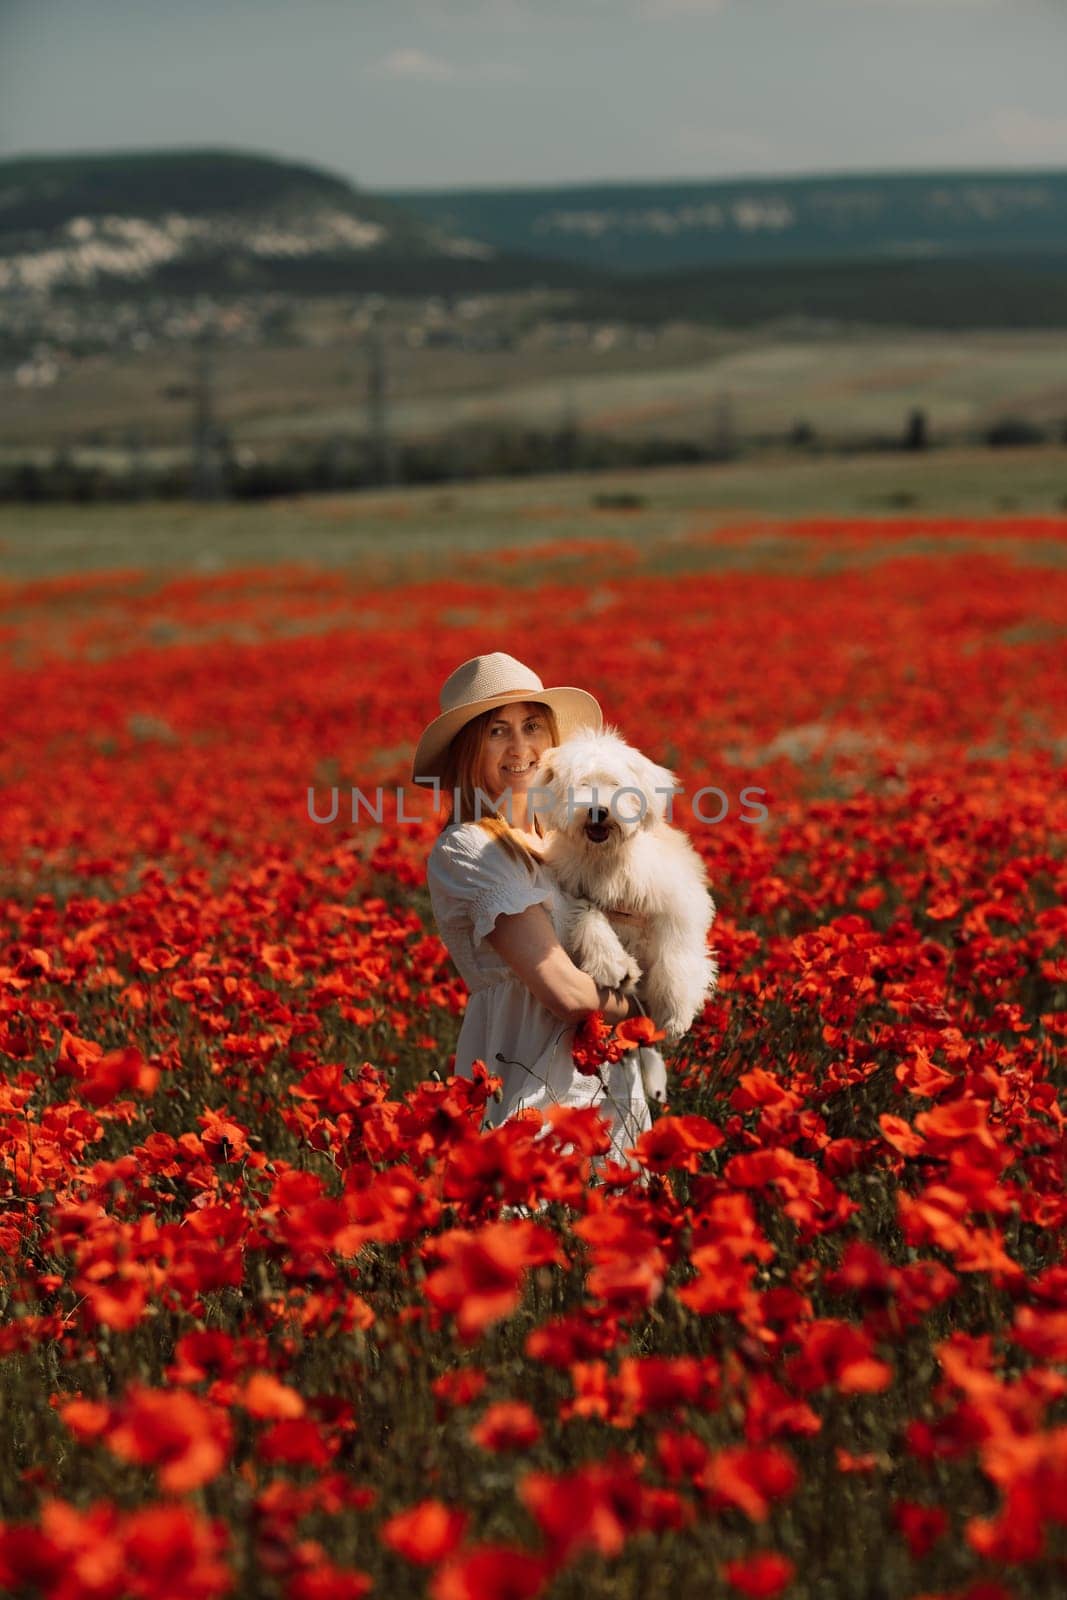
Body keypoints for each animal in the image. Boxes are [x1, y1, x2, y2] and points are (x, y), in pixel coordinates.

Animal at [531, 732, 716, 1043]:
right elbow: (587, 914)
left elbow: (675, 954)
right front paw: (611, 965)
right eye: (581, 783)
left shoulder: (678, 901)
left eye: (615, 784)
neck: (606, 858)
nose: (598, 811)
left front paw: (675, 1015)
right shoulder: (574, 887)